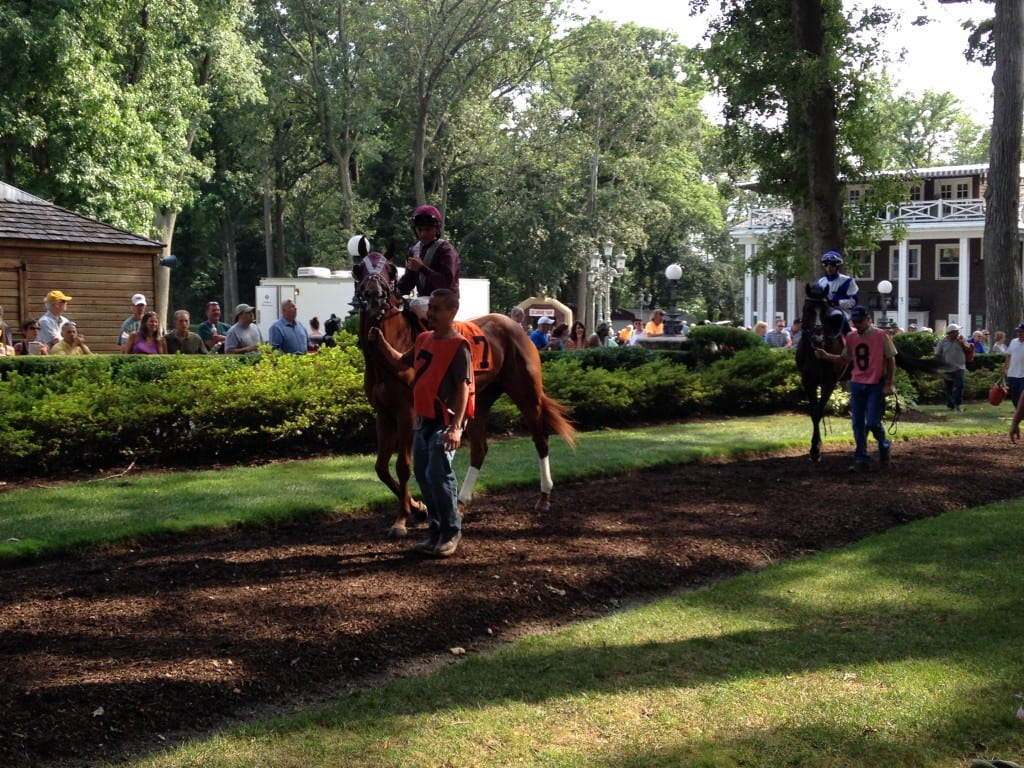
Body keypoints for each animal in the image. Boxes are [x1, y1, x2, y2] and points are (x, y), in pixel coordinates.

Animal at [352, 243, 577, 536]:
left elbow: (403, 466)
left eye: (390, 269)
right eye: (359, 268)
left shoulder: (406, 412)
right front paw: (418, 507)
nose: (374, 295)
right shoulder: (383, 413)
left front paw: (402, 519)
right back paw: (460, 502)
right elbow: (380, 467)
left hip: (527, 393)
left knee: (541, 440)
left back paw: (544, 497)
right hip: (480, 398)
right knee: (479, 449)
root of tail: (516, 325)